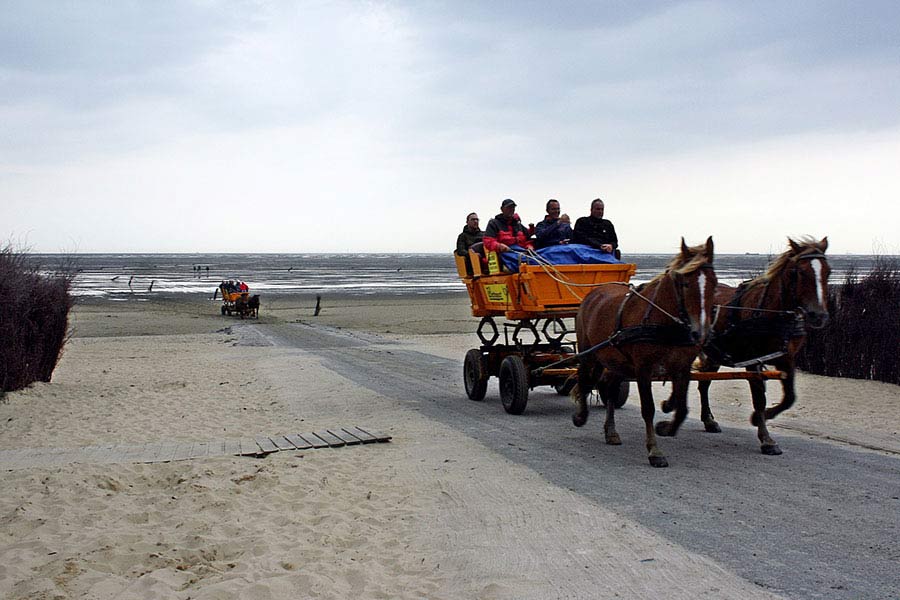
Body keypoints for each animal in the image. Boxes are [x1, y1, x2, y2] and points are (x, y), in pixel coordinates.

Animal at [576, 237, 716, 466]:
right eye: (685, 284)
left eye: (713, 283)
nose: (701, 333)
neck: (666, 323)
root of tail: (595, 292)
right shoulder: (643, 369)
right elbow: (648, 408)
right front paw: (654, 451)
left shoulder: (682, 367)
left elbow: (682, 408)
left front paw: (666, 425)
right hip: (589, 352)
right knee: (584, 378)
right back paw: (580, 415)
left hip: (617, 361)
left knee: (610, 389)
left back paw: (610, 431)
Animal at [692, 237, 832, 452]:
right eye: (799, 272)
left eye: (828, 272)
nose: (819, 316)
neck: (772, 312)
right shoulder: (753, 359)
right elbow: (759, 398)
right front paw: (766, 438)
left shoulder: (786, 357)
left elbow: (789, 398)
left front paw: (763, 417)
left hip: (715, 352)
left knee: (704, 382)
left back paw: (709, 420)